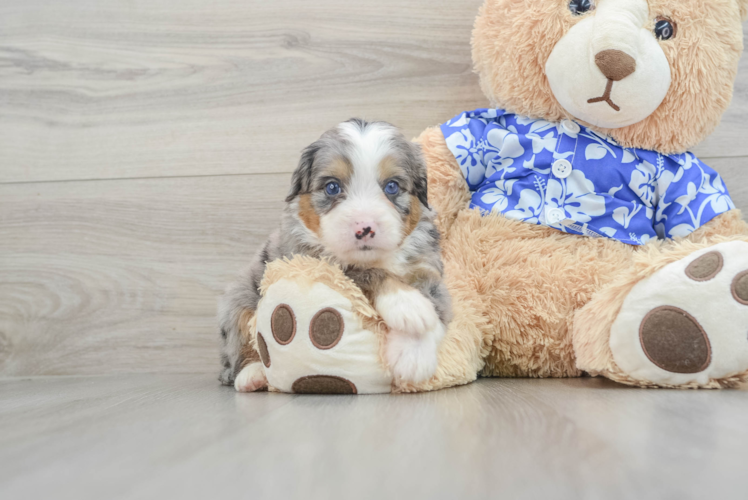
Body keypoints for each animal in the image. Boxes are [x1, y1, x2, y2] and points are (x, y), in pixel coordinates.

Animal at [216, 119, 450, 392]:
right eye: (332, 187)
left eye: (392, 186)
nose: (365, 228)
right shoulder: (316, 261)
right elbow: (368, 273)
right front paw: (407, 304)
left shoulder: (429, 269)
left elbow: (434, 306)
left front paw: (413, 356)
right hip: (238, 300)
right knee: (239, 347)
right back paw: (252, 375)